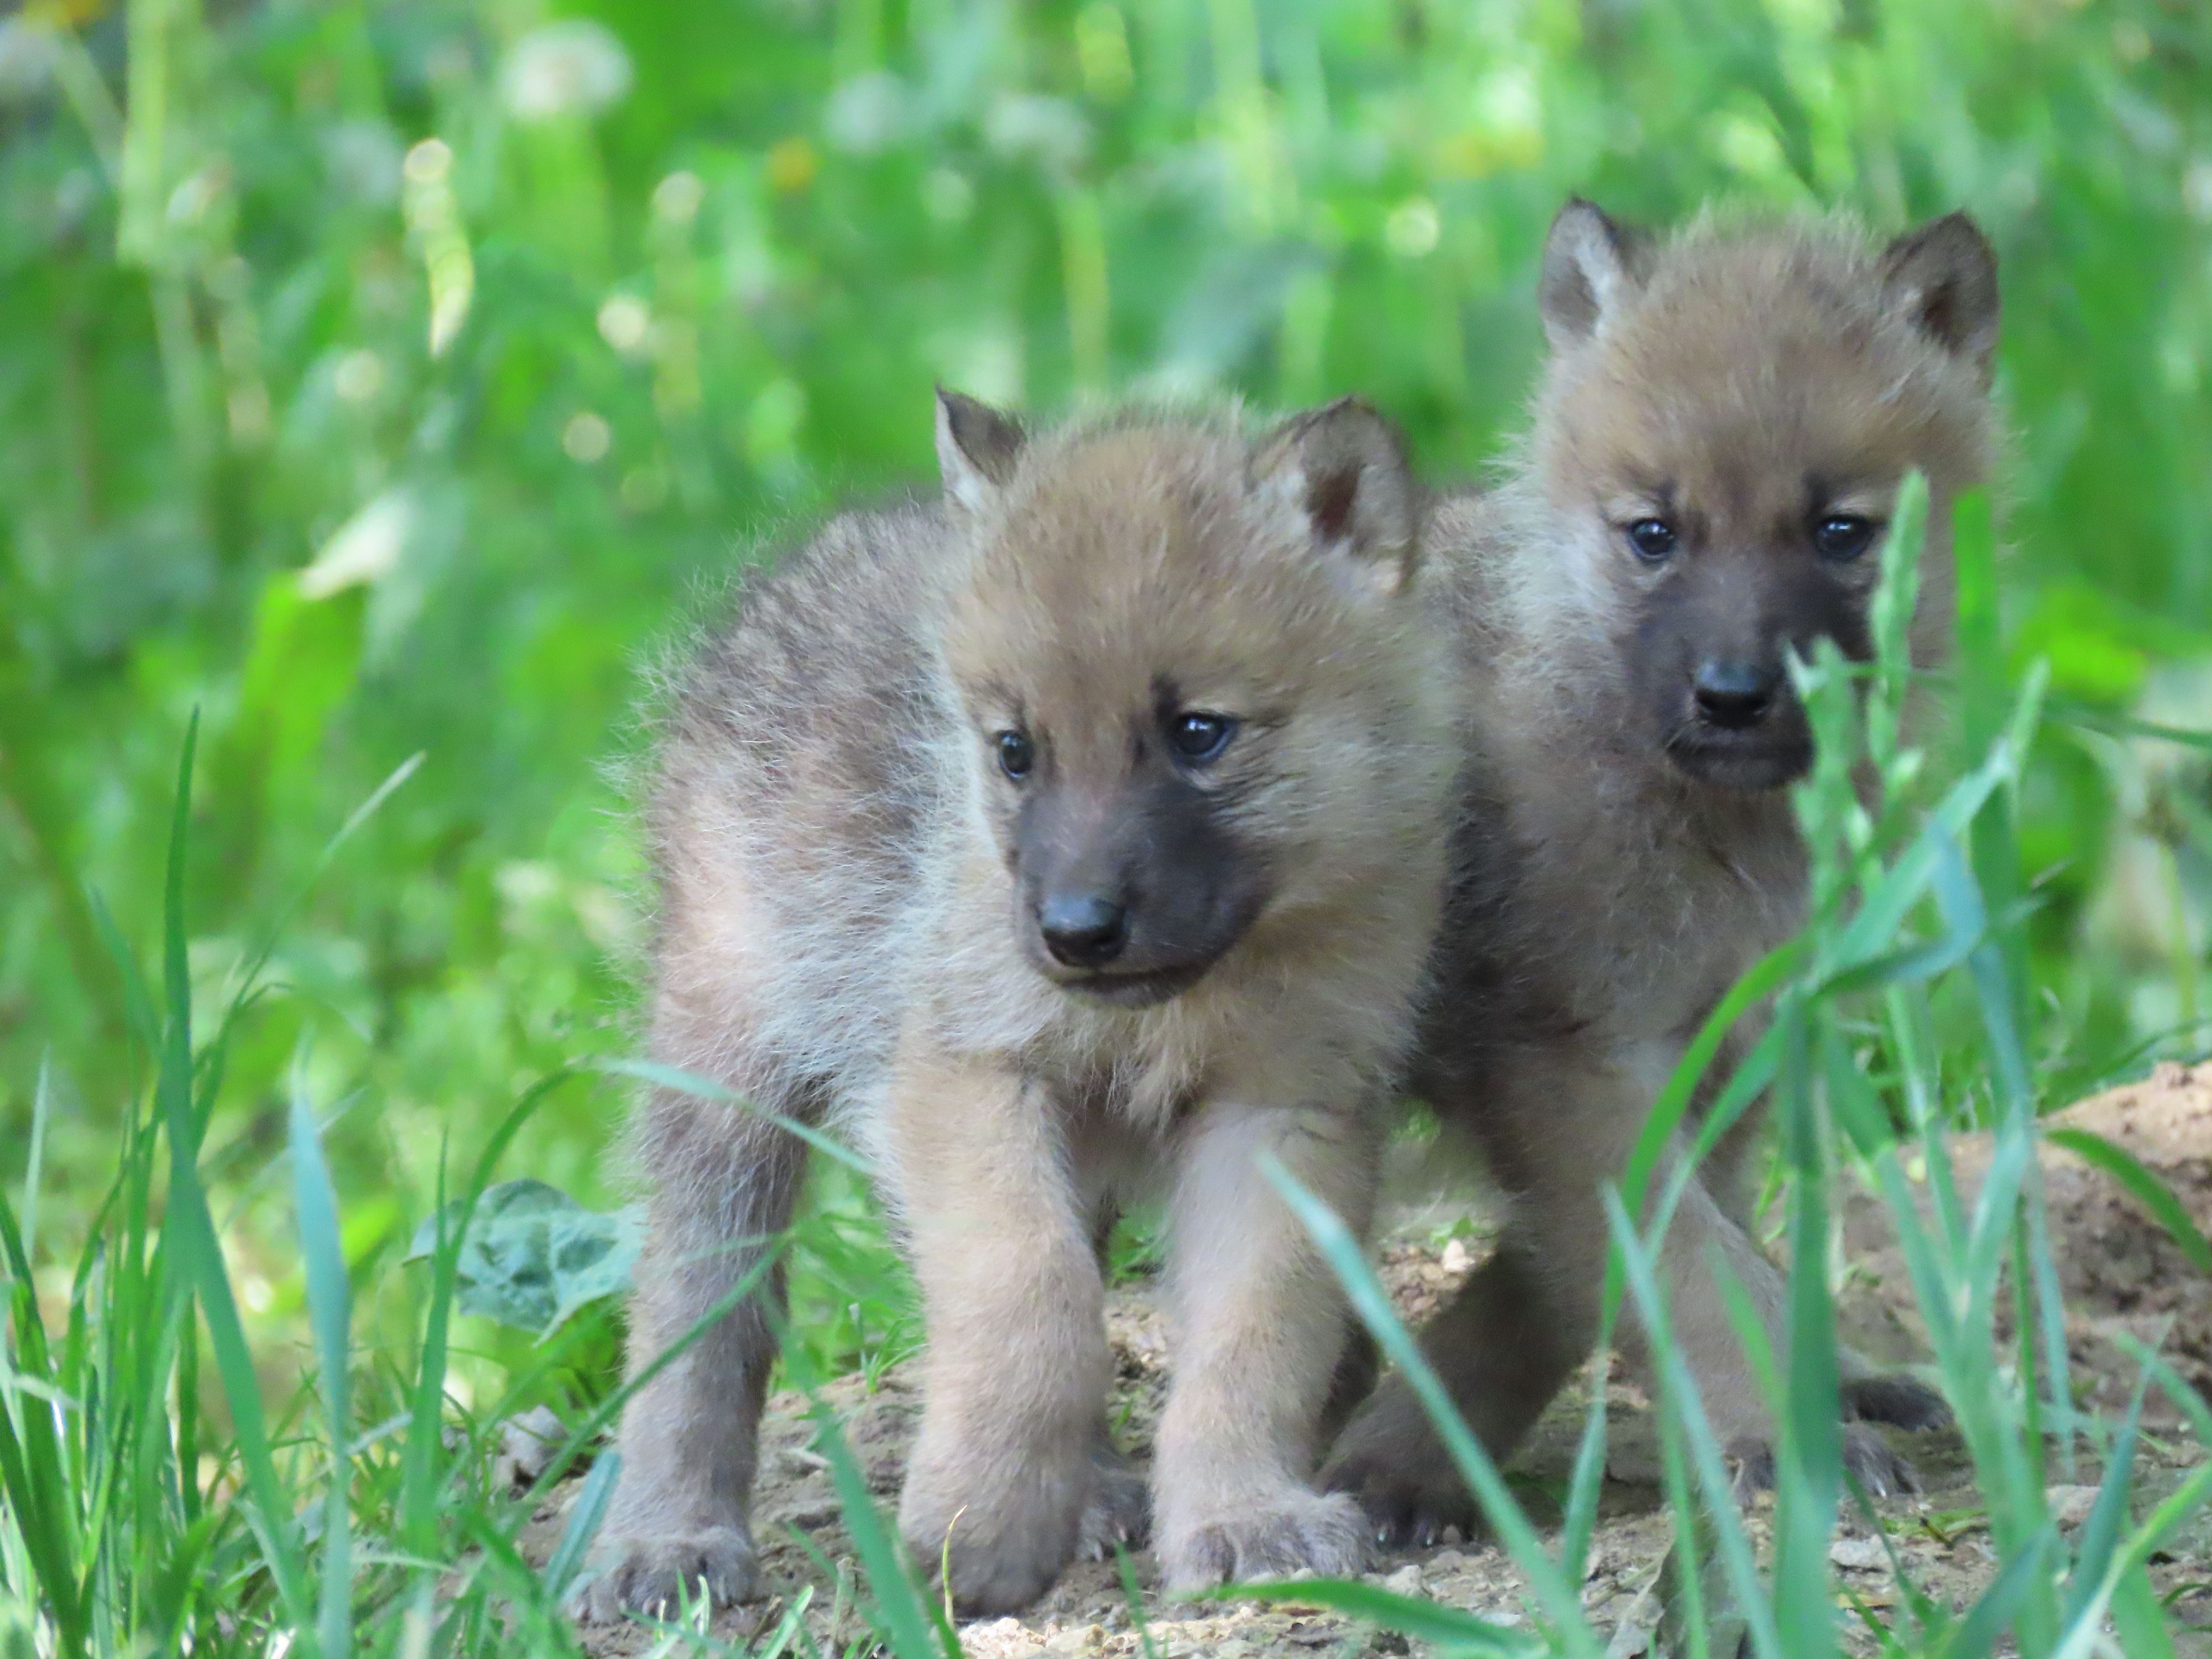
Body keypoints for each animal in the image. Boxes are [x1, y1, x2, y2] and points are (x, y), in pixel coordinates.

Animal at [577, 392, 1462, 1618]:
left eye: (1200, 733)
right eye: (1014, 752)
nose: (1074, 931)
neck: (1172, 1008)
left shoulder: (1282, 1111)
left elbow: (1255, 1335)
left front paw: (1244, 1516)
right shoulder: (966, 1077)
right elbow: (1031, 1299)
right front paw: (981, 1526)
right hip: (724, 1083)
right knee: (692, 1314)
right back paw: (666, 1539)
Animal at [1323, 201, 2002, 1538]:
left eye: (1840, 533)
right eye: (1653, 534)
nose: (1733, 696)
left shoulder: (1717, 1050)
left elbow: (1610, 1272)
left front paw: (1409, 1454)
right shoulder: (1573, 1058)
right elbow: (1685, 1270)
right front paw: (1783, 1444)